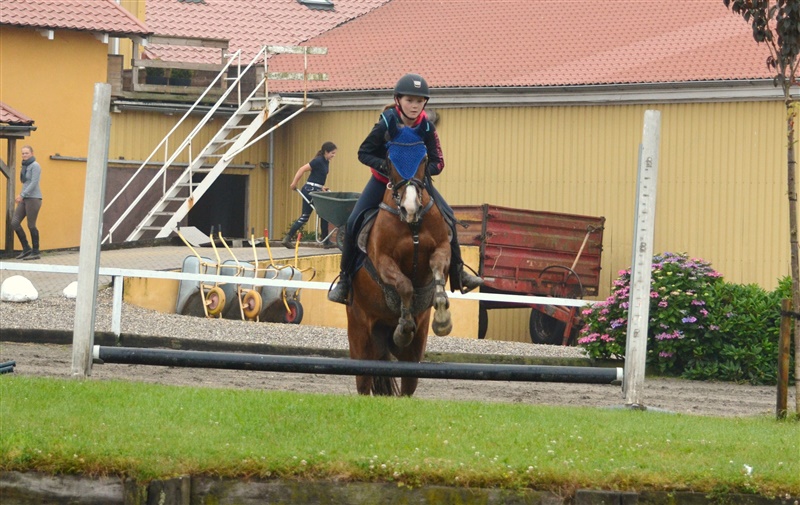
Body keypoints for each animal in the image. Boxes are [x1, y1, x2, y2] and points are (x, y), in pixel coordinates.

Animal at [346, 126, 453, 396]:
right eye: (390, 159)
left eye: (424, 159)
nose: (410, 208)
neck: (411, 224)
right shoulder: (384, 260)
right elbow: (404, 285)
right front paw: (404, 326)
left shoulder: (441, 248)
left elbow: (438, 271)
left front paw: (443, 317)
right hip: (360, 337)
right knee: (363, 384)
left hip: (414, 352)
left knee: (407, 386)